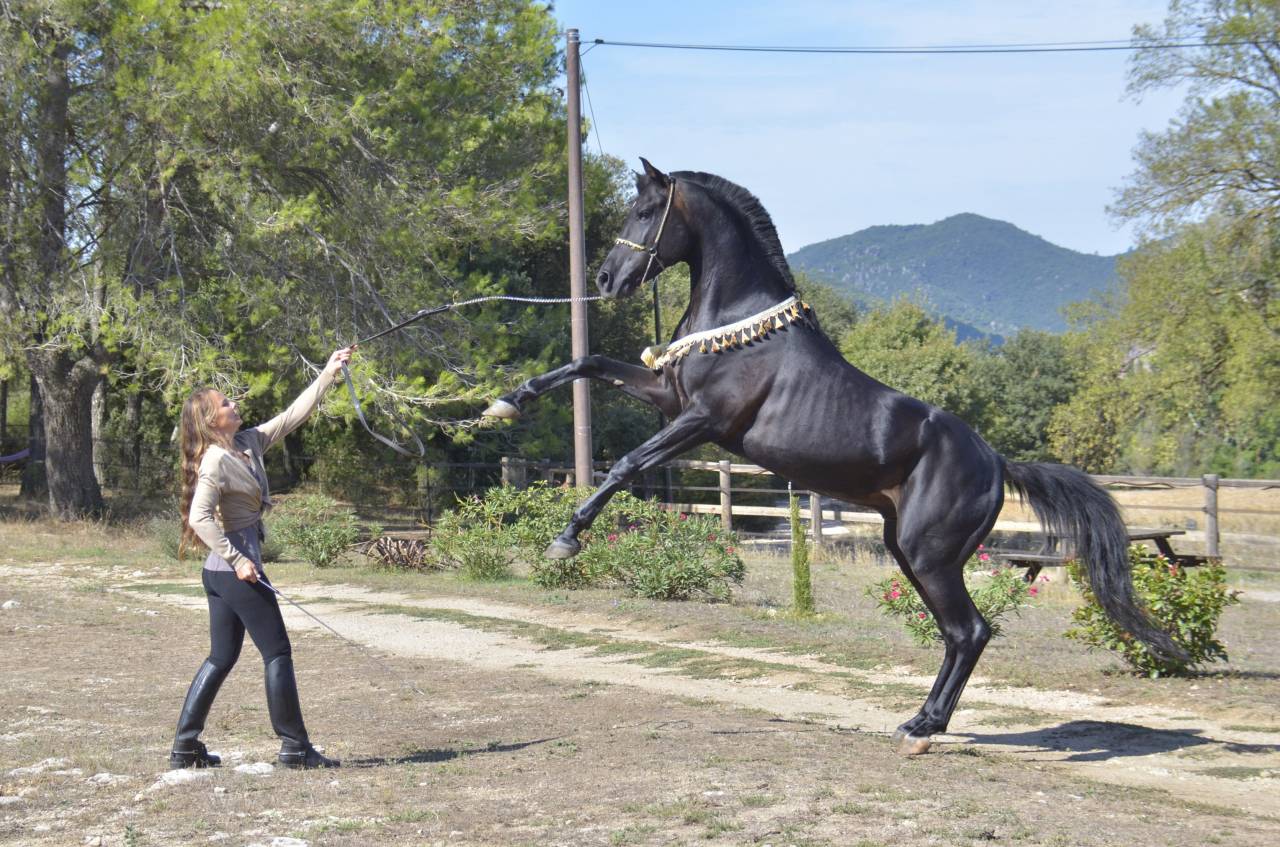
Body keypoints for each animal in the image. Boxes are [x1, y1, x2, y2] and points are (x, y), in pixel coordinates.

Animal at [483, 158, 1184, 754]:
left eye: (645, 211)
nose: (606, 280)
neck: (739, 323)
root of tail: (996, 463)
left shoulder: (701, 420)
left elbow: (626, 464)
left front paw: (566, 538)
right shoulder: (667, 396)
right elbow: (588, 361)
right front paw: (506, 403)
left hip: (930, 556)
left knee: (971, 631)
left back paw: (923, 728)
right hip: (911, 553)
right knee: (958, 633)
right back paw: (919, 721)